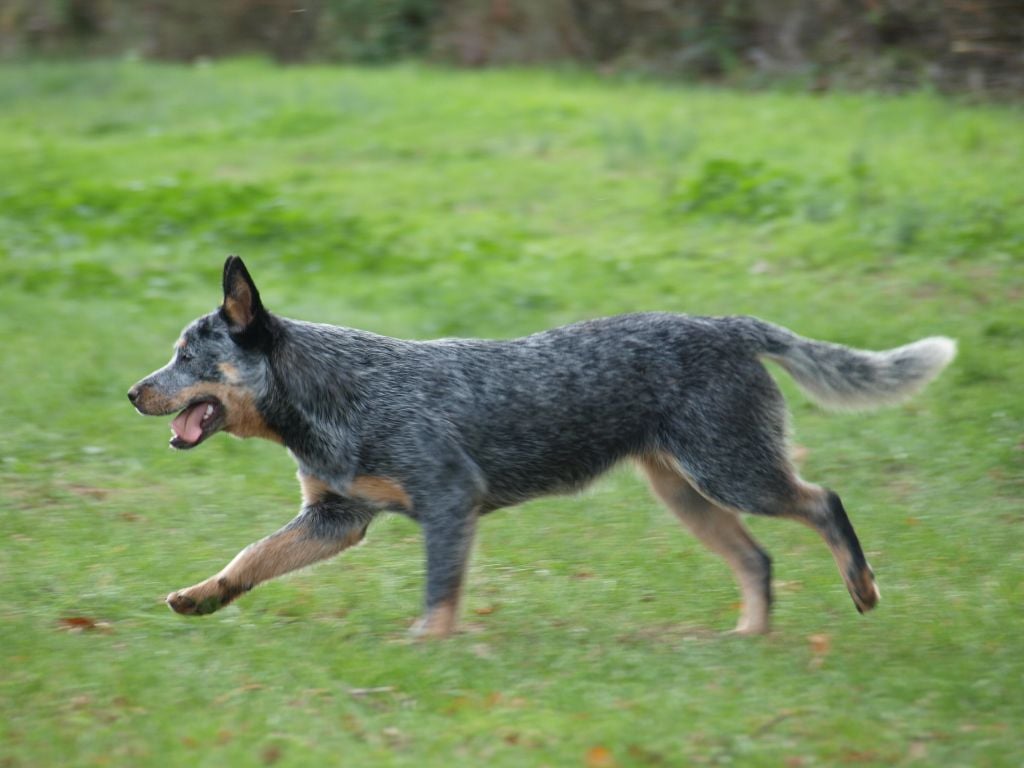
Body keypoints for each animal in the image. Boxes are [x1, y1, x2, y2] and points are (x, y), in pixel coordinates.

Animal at [125, 257, 950, 638]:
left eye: (188, 357)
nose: (132, 392)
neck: (336, 394)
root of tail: (730, 325)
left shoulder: (448, 503)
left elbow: (439, 593)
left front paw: (425, 646)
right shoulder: (336, 519)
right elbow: (252, 557)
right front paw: (203, 596)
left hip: (734, 472)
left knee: (824, 501)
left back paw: (863, 588)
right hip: (686, 492)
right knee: (759, 558)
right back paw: (747, 636)